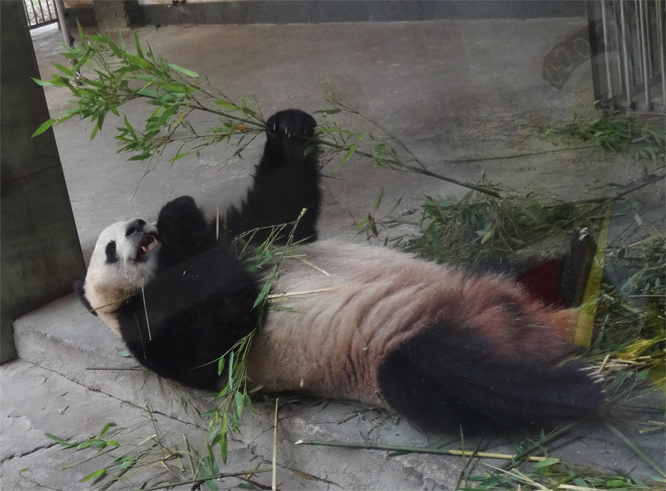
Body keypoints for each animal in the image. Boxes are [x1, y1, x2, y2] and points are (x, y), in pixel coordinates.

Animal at [75, 109, 604, 432]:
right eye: (109, 249)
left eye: (128, 225)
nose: (139, 225)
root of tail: (527, 326)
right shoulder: (149, 328)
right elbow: (217, 336)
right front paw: (177, 214)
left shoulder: (249, 238)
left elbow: (283, 208)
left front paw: (288, 128)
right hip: (398, 349)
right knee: (445, 378)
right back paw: (577, 392)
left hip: (482, 278)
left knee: (512, 273)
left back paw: (577, 270)